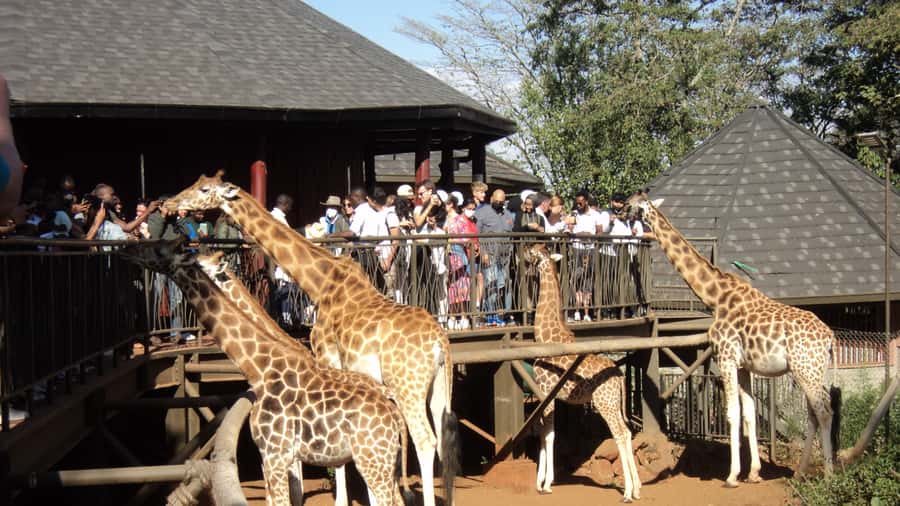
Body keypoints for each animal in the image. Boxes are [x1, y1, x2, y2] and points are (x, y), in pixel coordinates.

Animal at [522, 243, 642, 501]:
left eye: (533, 251)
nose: (523, 252)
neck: (545, 336)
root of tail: (620, 376)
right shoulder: (547, 395)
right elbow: (545, 433)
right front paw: (541, 482)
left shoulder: (546, 392)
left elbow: (548, 434)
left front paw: (546, 484)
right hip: (614, 402)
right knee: (628, 432)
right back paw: (638, 489)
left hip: (604, 402)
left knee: (619, 433)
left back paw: (627, 492)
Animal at [624, 193, 837, 486]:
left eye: (633, 204)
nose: (620, 210)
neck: (716, 297)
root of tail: (829, 337)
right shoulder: (744, 366)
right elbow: (748, 414)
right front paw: (754, 473)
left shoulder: (725, 358)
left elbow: (732, 414)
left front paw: (732, 476)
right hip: (811, 371)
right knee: (814, 414)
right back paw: (800, 472)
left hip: (806, 369)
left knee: (824, 411)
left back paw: (828, 476)